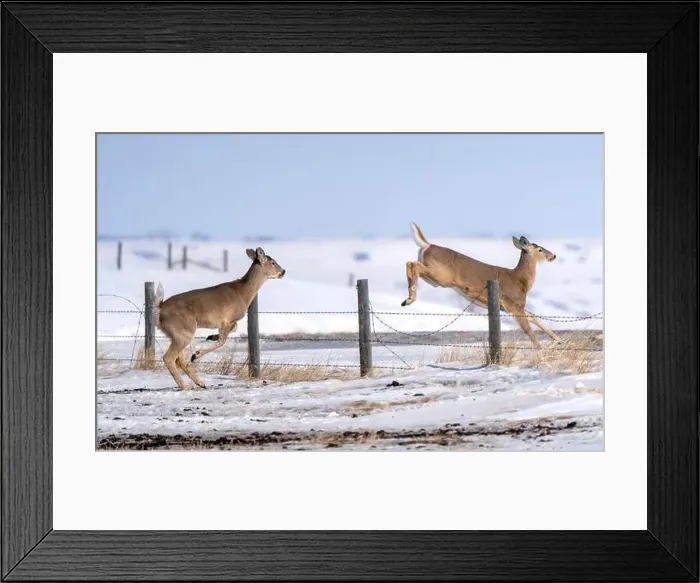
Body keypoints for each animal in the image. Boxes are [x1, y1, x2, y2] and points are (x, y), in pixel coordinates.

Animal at [154, 247, 285, 390]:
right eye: (273, 262)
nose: (283, 271)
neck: (244, 293)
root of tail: (160, 309)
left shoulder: (228, 322)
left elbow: (233, 329)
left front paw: (211, 336)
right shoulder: (227, 319)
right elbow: (223, 340)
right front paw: (196, 354)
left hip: (176, 334)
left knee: (178, 359)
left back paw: (200, 383)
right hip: (184, 330)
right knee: (169, 358)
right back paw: (186, 385)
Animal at [401, 222, 560, 347]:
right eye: (540, 249)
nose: (553, 256)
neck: (521, 280)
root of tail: (428, 245)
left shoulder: (515, 305)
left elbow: (535, 318)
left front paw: (557, 340)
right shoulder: (514, 304)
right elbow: (528, 329)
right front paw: (541, 350)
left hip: (435, 279)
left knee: (410, 263)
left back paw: (406, 299)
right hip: (442, 275)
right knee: (414, 264)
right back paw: (410, 299)